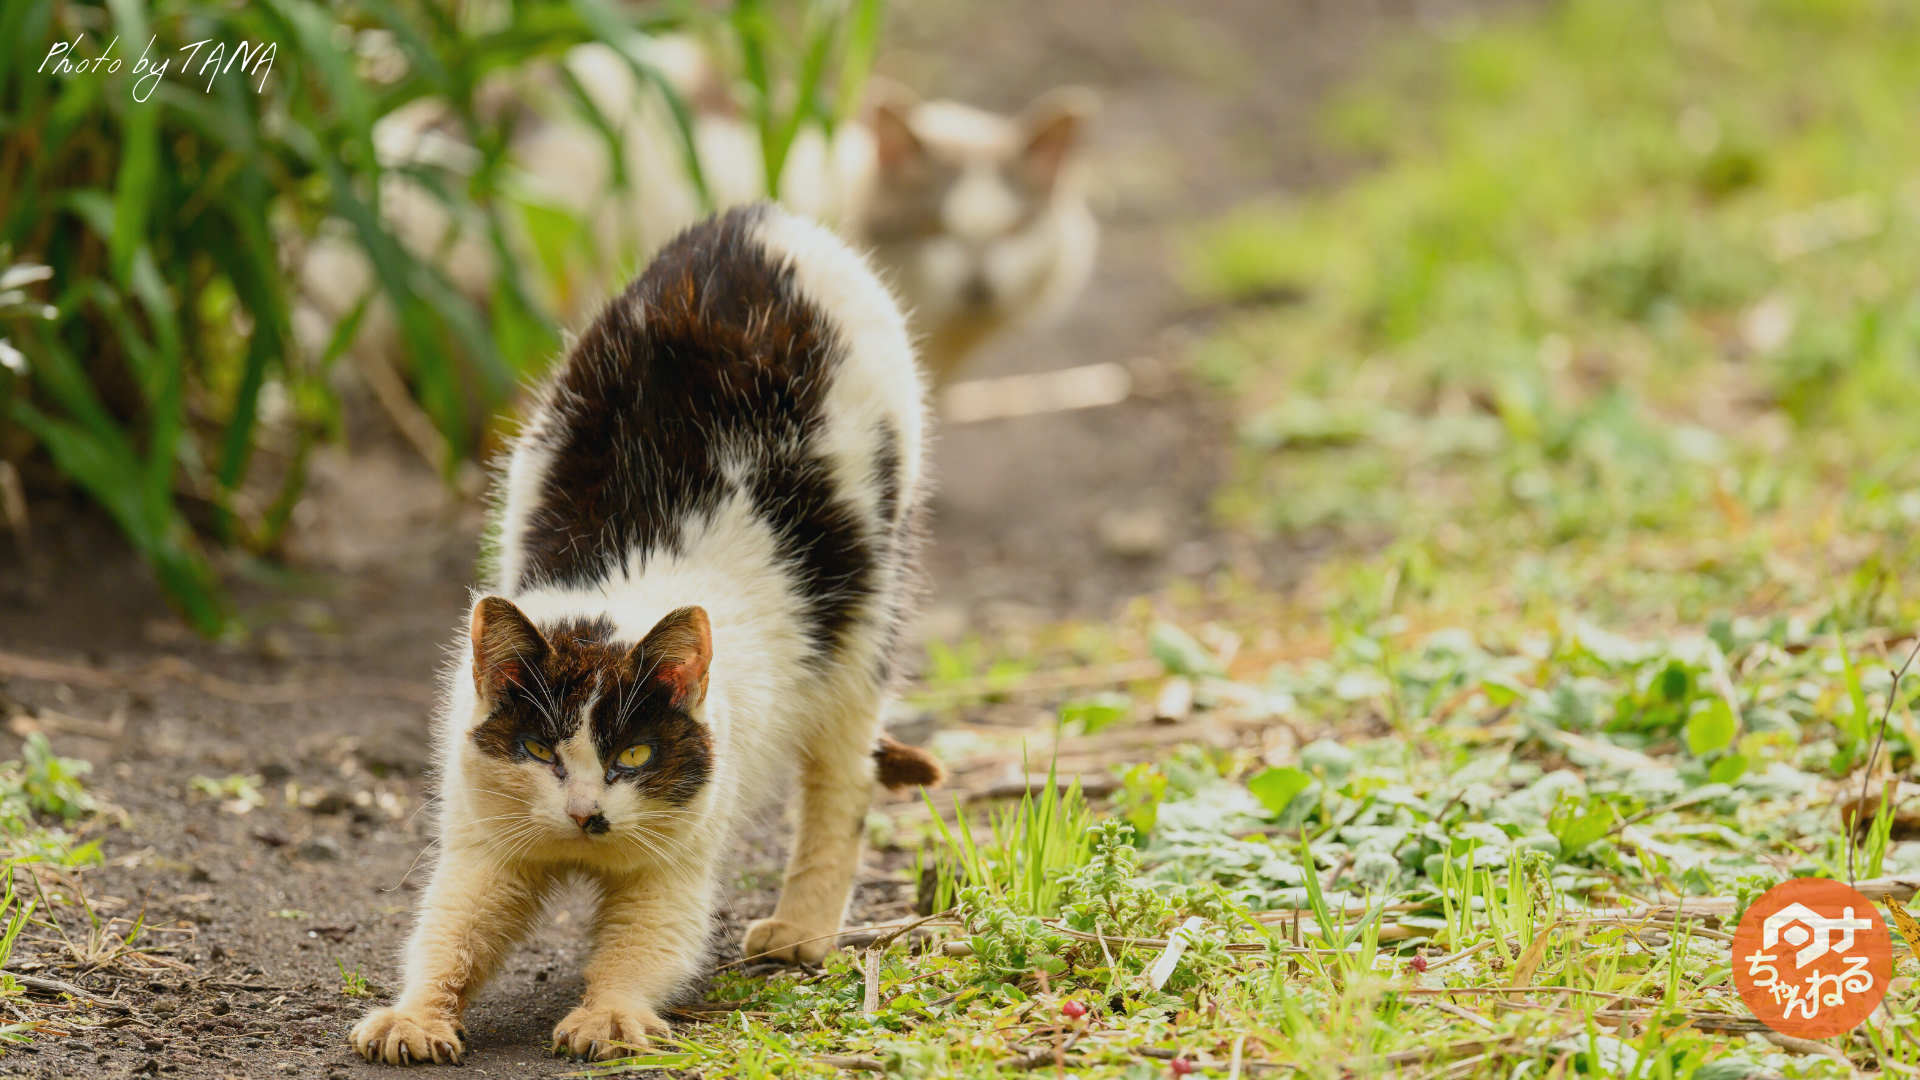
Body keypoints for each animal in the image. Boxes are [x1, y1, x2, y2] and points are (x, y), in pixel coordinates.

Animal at [351, 205, 944, 1060]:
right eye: (537, 749)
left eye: (634, 756)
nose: (586, 814)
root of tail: (761, 219)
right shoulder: (483, 841)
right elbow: (453, 930)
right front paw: (416, 1016)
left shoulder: (679, 859)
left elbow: (648, 940)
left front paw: (609, 1014)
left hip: (865, 612)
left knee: (845, 776)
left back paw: (800, 932)